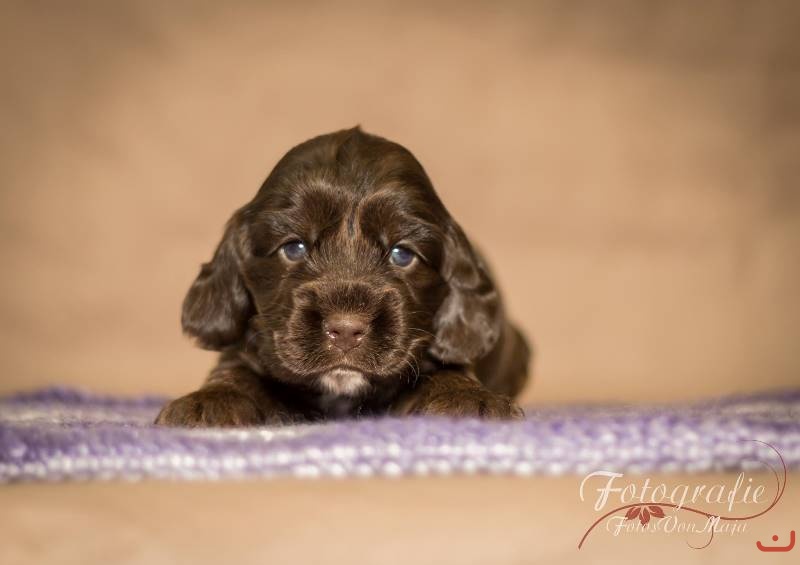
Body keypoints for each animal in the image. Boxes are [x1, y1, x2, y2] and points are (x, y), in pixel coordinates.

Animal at [155, 127, 530, 426]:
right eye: (294, 247)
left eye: (402, 254)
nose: (346, 329)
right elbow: (235, 368)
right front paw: (212, 399)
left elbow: (449, 368)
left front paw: (467, 398)